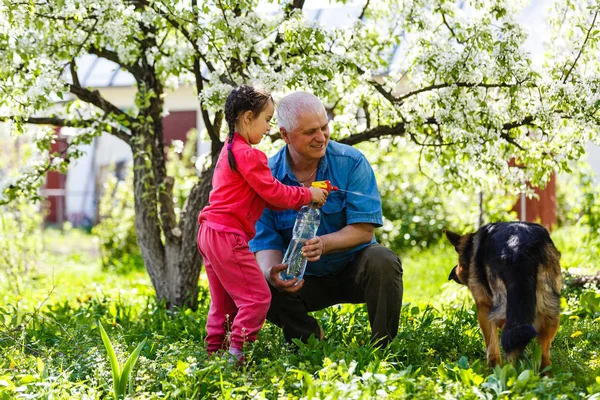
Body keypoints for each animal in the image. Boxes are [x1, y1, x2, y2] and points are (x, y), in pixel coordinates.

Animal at [446, 220, 564, 370]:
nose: (452, 273)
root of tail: (518, 248)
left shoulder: (483, 308)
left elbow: (491, 345)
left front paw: (493, 368)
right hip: (550, 310)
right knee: (542, 354)